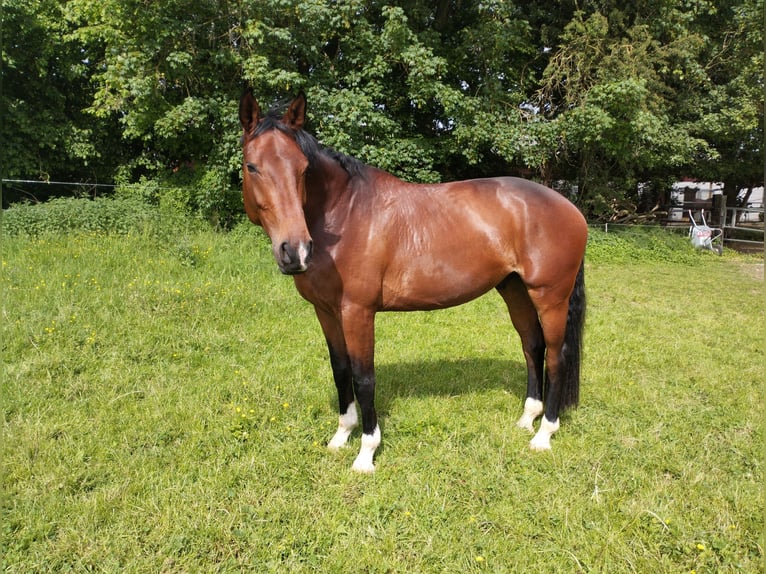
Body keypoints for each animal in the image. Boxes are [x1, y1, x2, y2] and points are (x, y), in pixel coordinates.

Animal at [240, 92, 588, 474]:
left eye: (303, 169)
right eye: (252, 166)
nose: (295, 251)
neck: (344, 215)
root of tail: (571, 208)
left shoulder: (358, 312)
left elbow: (364, 377)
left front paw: (366, 453)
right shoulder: (326, 311)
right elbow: (340, 369)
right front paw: (340, 437)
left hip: (550, 297)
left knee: (556, 355)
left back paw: (544, 434)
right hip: (514, 289)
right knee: (533, 346)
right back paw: (528, 418)